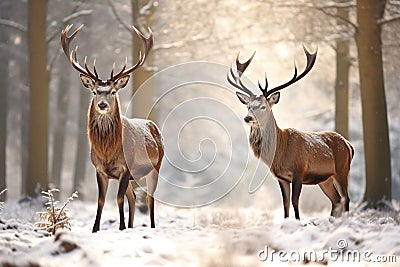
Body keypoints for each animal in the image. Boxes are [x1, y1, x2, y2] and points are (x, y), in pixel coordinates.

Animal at [61, 24, 164, 232]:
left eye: (113, 91)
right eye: (94, 91)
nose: (102, 105)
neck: (107, 151)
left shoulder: (126, 168)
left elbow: (118, 199)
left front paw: (121, 228)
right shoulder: (99, 170)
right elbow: (101, 201)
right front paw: (95, 229)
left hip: (155, 167)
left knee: (150, 199)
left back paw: (150, 227)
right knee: (133, 197)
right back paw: (132, 226)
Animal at [227, 48, 354, 220]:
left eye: (263, 106)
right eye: (248, 106)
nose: (248, 118)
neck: (280, 151)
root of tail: (348, 144)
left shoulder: (299, 170)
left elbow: (295, 202)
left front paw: (298, 221)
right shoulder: (281, 177)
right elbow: (286, 204)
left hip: (342, 169)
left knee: (345, 198)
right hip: (325, 179)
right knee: (336, 200)